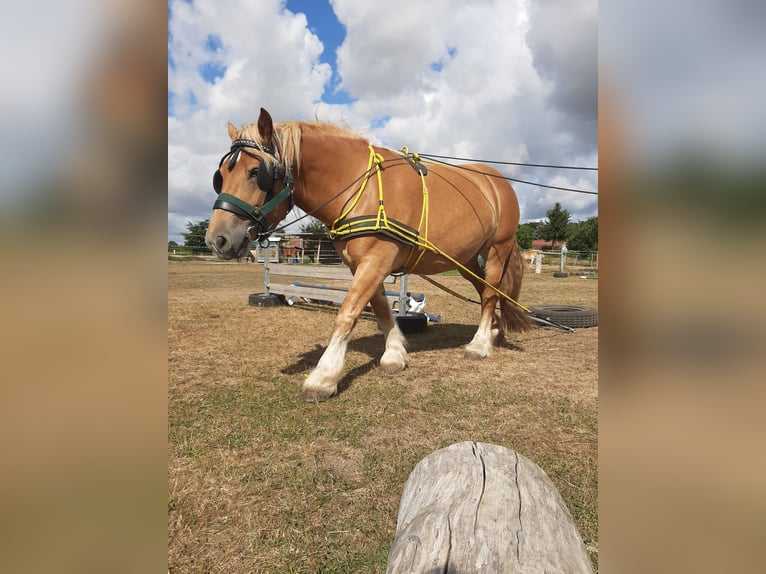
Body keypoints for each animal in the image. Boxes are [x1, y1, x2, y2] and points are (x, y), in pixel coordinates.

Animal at [206, 110, 528, 402]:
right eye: (220, 177)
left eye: (255, 172)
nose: (216, 240)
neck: (361, 186)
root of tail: (498, 182)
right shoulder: (361, 264)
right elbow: (381, 308)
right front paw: (394, 354)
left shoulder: (376, 260)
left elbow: (348, 313)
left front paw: (324, 377)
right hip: (466, 259)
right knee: (487, 291)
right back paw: (493, 331)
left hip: (497, 249)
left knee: (490, 293)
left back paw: (479, 344)